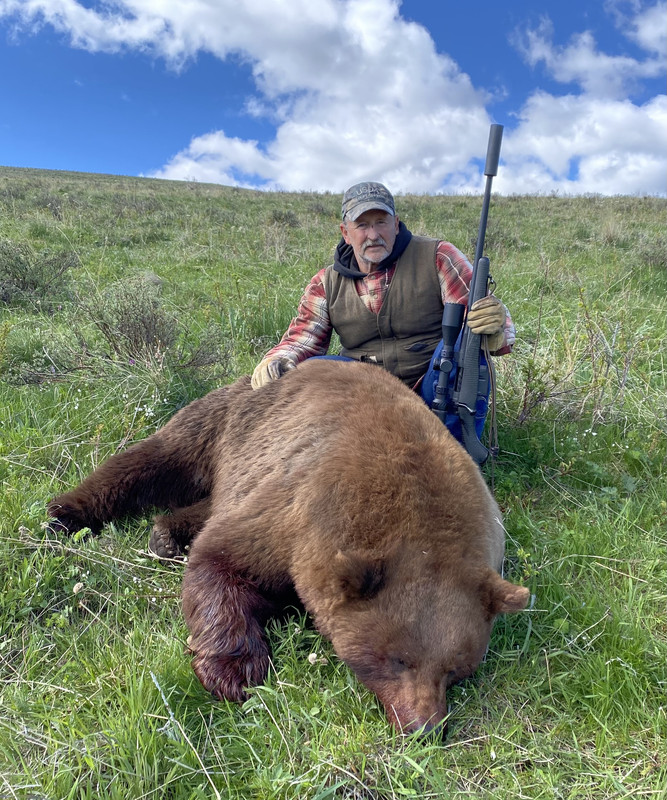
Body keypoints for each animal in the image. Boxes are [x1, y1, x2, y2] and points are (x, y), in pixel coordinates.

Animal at [47, 358, 530, 734]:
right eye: (397, 660)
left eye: (456, 670)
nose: (424, 727)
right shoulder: (295, 509)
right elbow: (220, 559)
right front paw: (234, 674)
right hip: (226, 423)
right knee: (154, 458)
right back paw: (65, 514)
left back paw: (166, 532)